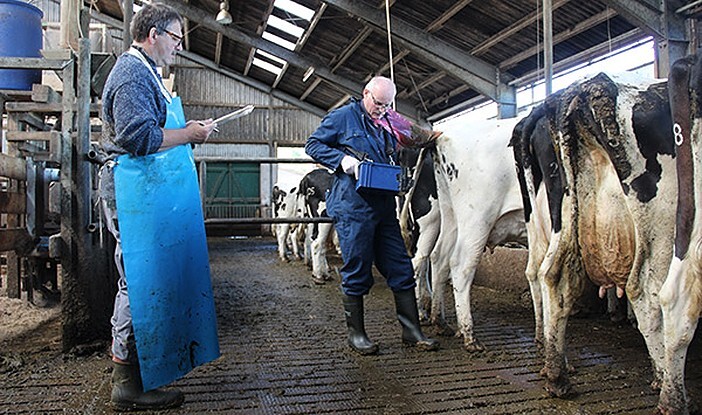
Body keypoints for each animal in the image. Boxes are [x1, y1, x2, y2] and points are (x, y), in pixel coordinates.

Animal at [398, 117, 532, 352]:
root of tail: (440, 135)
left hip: (447, 218)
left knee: (435, 259)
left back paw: (438, 320)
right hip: (457, 219)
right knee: (433, 263)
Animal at [512, 73, 692, 414]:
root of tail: (581, 89)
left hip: (562, 217)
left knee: (549, 275)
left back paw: (556, 372)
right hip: (661, 224)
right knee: (651, 293)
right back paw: (669, 390)